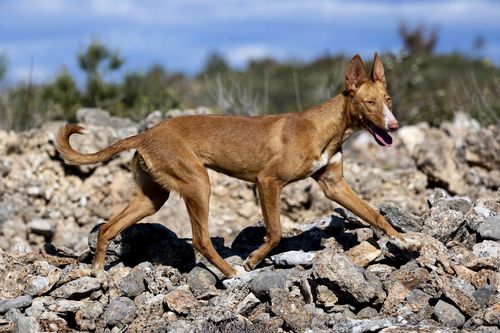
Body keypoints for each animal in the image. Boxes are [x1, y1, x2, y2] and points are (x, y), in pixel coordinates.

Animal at [56, 53, 420, 278]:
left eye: (388, 100)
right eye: (369, 102)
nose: (394, 125)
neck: (326, 127)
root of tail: (145, 133)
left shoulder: (334, 185)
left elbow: (375, 214)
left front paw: (405, 241)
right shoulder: (267, 181)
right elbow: (276, 232)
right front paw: (253, 260)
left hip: (151, 198)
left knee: (108, 226)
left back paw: (97, 269)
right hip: (198, 183)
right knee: (201, 240)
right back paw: (231, 274)